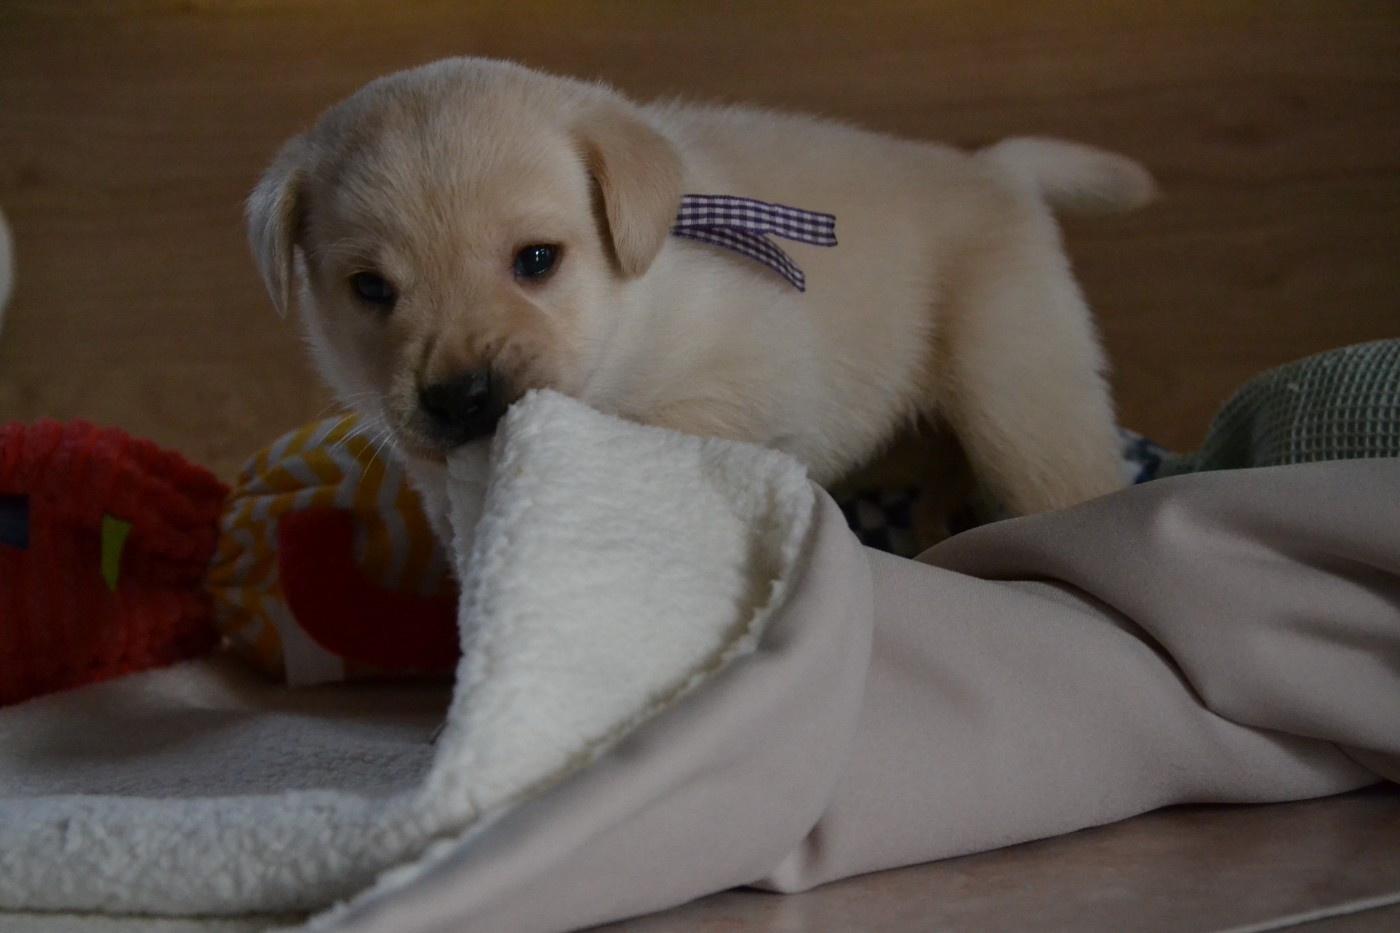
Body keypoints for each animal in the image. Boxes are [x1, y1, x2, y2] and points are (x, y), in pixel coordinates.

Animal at [247, 57, 1153, 547]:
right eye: (371, 289)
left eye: (536, 260)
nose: (462, 397)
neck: (631, 319)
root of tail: (998, 166)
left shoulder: (740, 387)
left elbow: (668, 439)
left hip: (1019, 395)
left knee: (1068, 480)